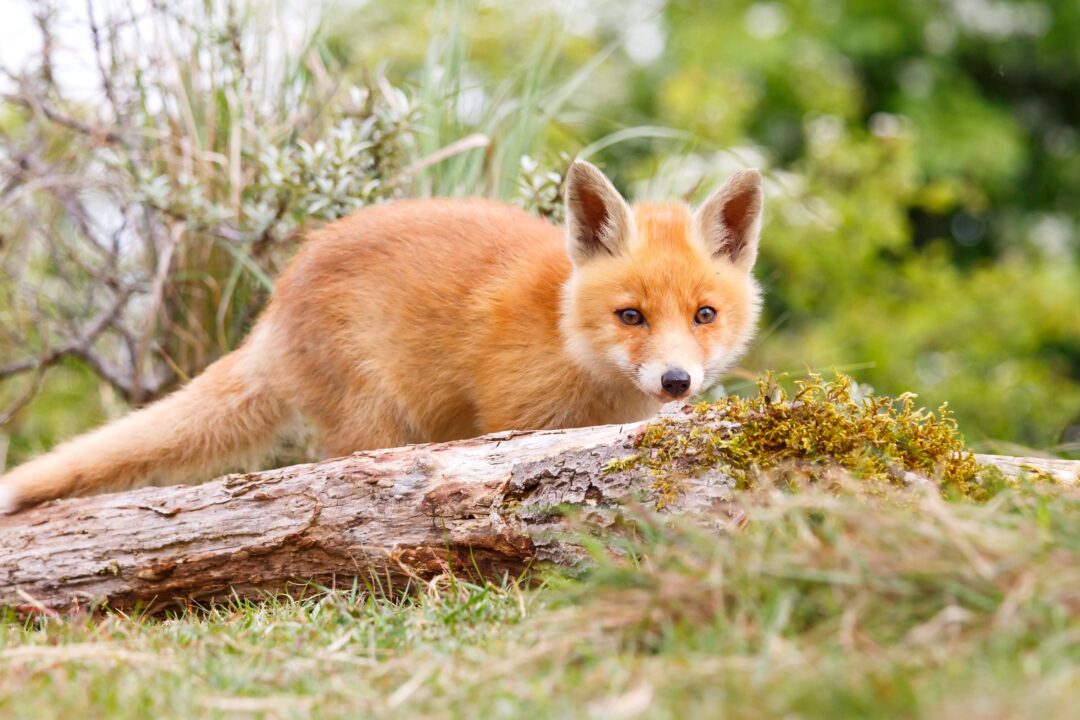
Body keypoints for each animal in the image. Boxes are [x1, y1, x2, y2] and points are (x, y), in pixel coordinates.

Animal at [0, 160, 764, 513]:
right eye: (631, 317)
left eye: (704, 315)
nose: (676, 382)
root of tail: (275, 304)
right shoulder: (515, 421)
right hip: (376, 427)